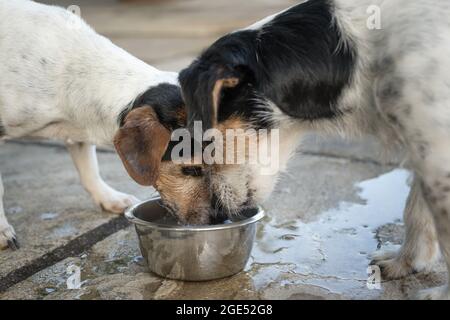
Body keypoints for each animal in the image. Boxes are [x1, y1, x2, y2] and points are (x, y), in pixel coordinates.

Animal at [178, 0, 450, 300]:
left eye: (202, 140)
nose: (215, 214)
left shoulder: (437, 157)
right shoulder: (424, 148)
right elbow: (415, 210)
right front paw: (405, 263)